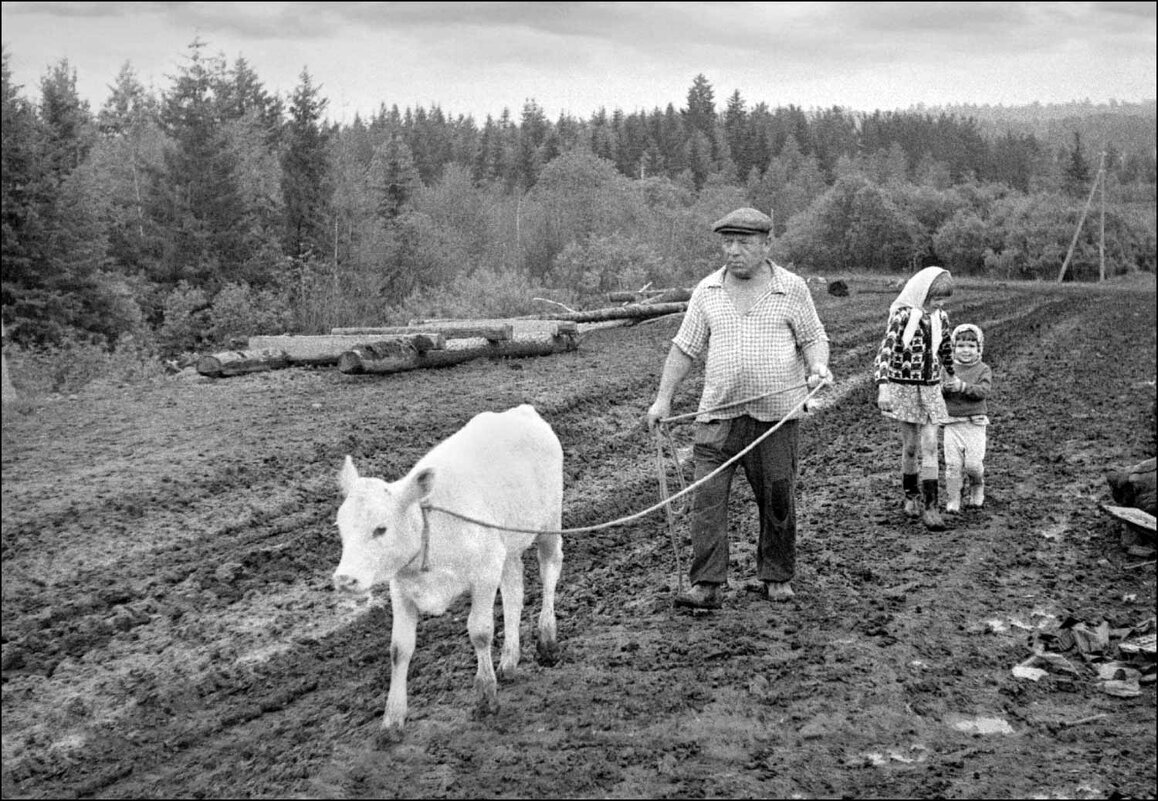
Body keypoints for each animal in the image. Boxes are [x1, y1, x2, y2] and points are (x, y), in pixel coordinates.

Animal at [333, 407, 562, 736]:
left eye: (381, 528)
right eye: (340, 526)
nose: (344, 579)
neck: (429, 529)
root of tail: (521, 411)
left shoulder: (484, 571)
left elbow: (480, 632)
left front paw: (485, 696)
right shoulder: (401, 589)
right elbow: (399, 649)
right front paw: (392, 720)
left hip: (549, 522)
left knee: (549, 571)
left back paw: (546, 638)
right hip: (507, 547)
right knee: (514, 593)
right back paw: (509, 660)